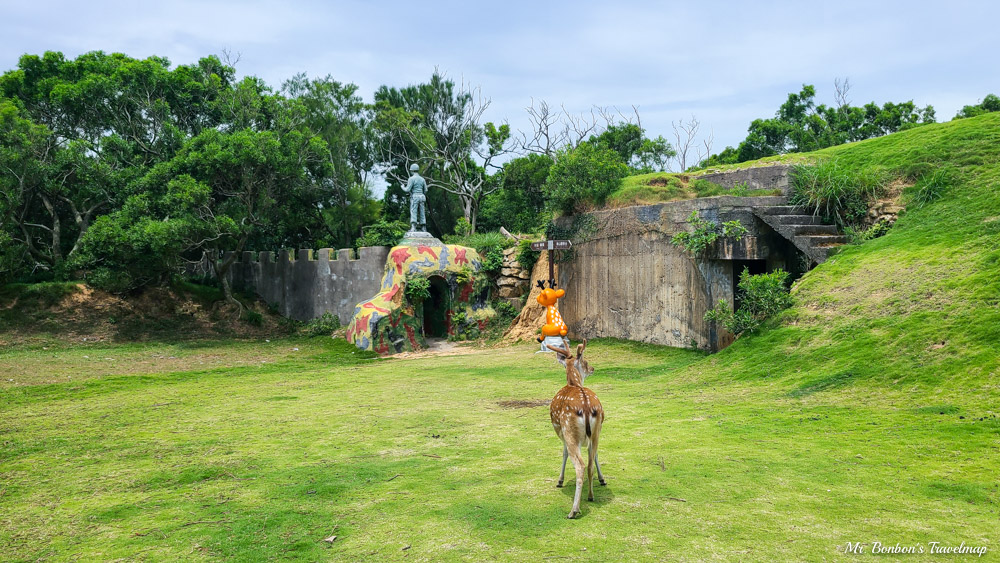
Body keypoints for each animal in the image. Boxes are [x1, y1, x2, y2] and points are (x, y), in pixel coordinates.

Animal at [548, 340, 608, 520]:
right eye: (586, 362)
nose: (593, 368)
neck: (574, 383)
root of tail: (587, 407)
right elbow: (596, 455)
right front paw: (602, 479)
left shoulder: (561, 432)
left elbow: (564, 453)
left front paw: (559, 481)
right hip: (597, 431)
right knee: (590, 463)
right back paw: (590, 495)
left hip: (570, 431)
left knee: (580, 465)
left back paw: (574, 510)